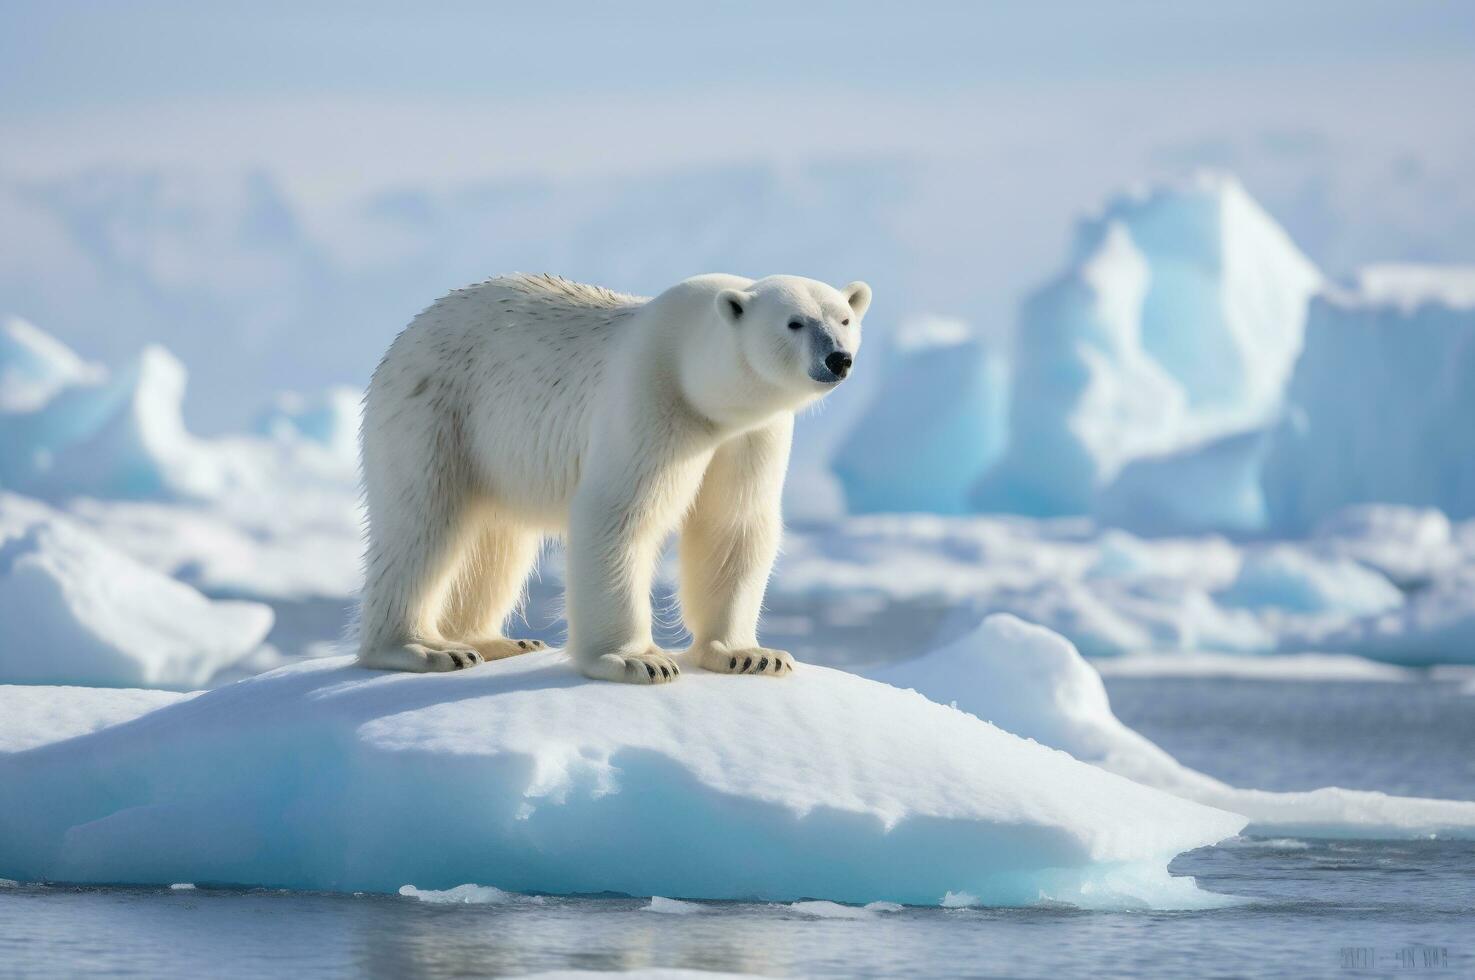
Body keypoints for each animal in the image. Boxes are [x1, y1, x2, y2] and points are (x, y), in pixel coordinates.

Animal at [355, 268, 861, 681]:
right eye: (794, 322)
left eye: (843, 320)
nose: (838, 359)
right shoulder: (650, 397)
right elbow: (618, 514)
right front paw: (638, 660)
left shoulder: (751, 434)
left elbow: (733, 524)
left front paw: (751, 655)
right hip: (436, 411)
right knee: (424, 522)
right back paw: (424, 648)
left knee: (496, 543)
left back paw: (494, 640)